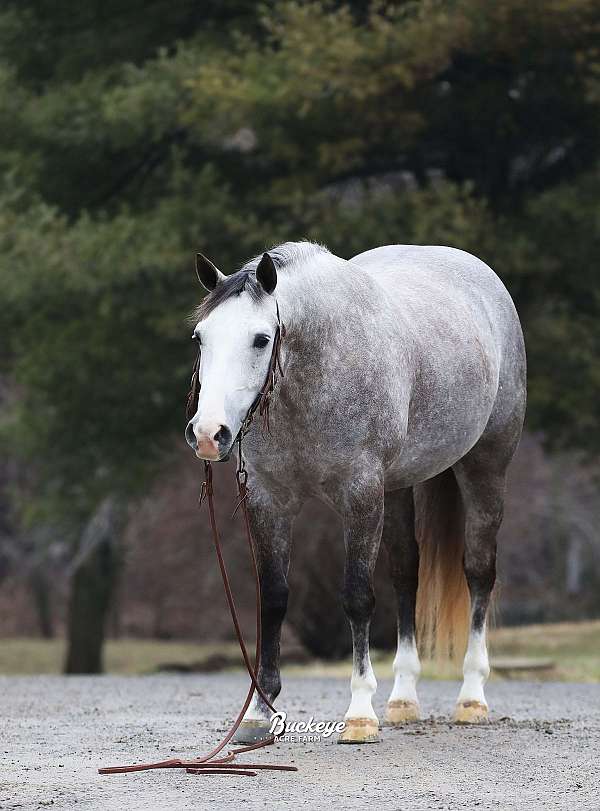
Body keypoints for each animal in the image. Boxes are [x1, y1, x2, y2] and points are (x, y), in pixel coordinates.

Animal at [186, 241, 524, 744]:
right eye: (200, 338)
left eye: (261, 339)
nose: (209, 434)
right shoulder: (269, 500)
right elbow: (274, 597)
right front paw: (259, 713)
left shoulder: (360, 494)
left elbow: (357, 597)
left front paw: (360, 713)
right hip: (398, 488)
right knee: (406, 575)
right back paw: (403, 699)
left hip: (485, 467)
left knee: (480, 573)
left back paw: (471, 698)